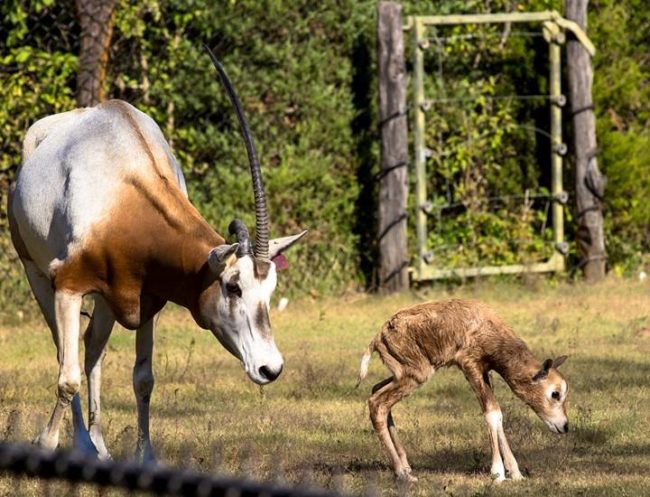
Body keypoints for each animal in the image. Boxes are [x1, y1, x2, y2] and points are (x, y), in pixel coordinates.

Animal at [354, 298, 568, 480]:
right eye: (555, 393)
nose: (565, 426)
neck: (484, 325)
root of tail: (379, 336)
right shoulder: (470, 365)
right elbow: (491, 413)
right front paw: (498, 473)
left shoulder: (485, 371)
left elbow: (497, 413)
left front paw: (515, 473)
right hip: (417, 375)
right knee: (377, 403)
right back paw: (402, 473)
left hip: (402, 375)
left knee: (376, 389)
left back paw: (406, 467)